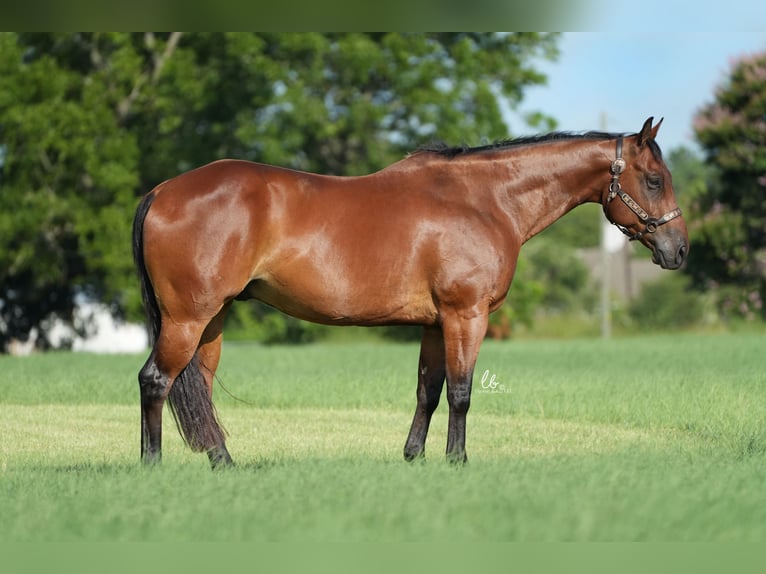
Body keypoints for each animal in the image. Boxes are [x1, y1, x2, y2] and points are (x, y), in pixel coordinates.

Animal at [132, 116, 688, 468]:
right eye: (654, 180)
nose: (679, 249)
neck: (484, 201)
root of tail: (161, 191)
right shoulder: (467, 316)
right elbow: (462, 393)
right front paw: (458, 460)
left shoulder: (434, 324)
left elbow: (429, 391)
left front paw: (414, 457)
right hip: (188, 319)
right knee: (155, 381)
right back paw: (151, 464)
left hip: (212, 321)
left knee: (198, 390)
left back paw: (223, 463)